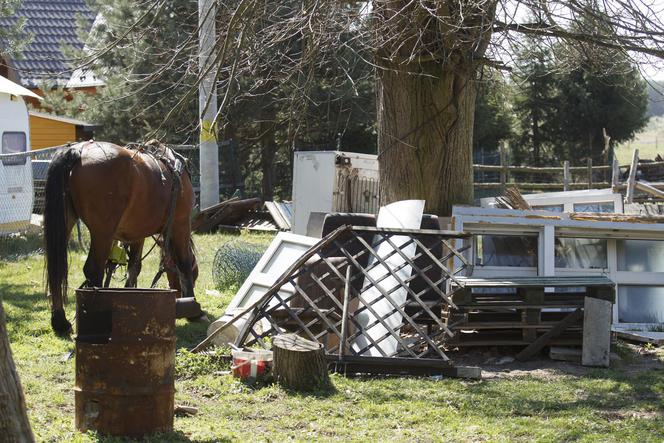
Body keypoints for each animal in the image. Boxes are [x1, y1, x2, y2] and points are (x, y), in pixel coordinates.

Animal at [44, 140, 201, 334]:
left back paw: (60, 321)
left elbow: (134, 268)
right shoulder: (181, 224)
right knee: (93, 270)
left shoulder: (137, 235)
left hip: (67, 224)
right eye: (196, 272)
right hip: (102, 234)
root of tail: (78, 149)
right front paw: (194, 309)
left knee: (56, 270)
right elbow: (183, 264)